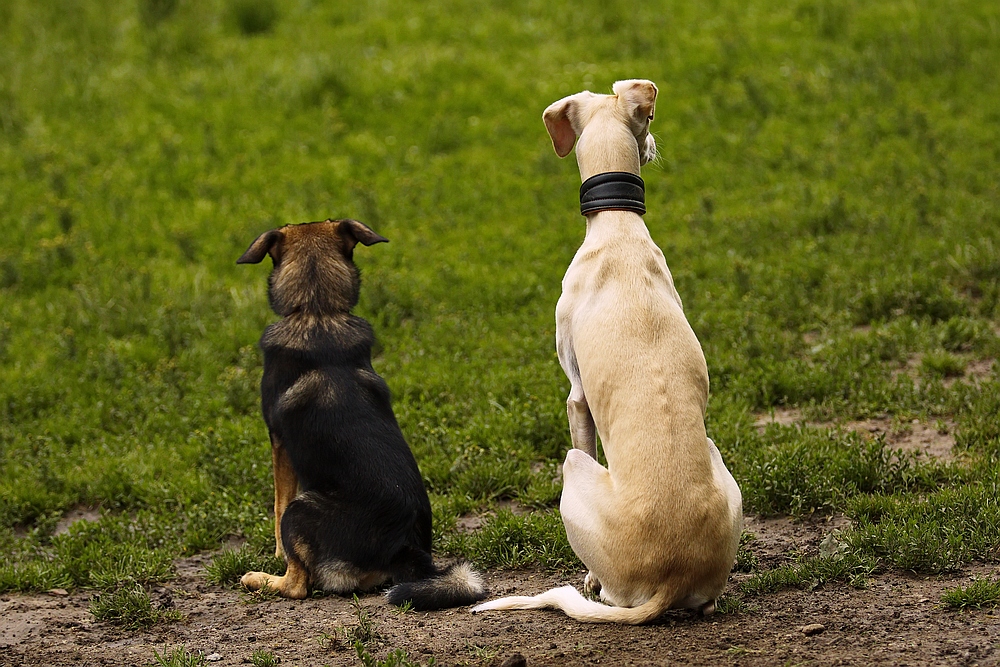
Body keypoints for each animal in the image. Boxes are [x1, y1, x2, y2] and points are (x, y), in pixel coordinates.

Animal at [234, 219, 484, 612]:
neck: (317, 311)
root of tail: (402, 550)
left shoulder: (278, 442)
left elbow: (277, 503)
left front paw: (275, 555)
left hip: (302, 510)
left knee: (298, 584)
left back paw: (259, 579)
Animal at [470, 81, 744, 624]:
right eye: (648, 123)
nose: (655, 145)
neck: (618, 228)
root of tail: (670, 579)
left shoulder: (576, 396)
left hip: (573, 469)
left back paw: (596, 582)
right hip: (721, 467)